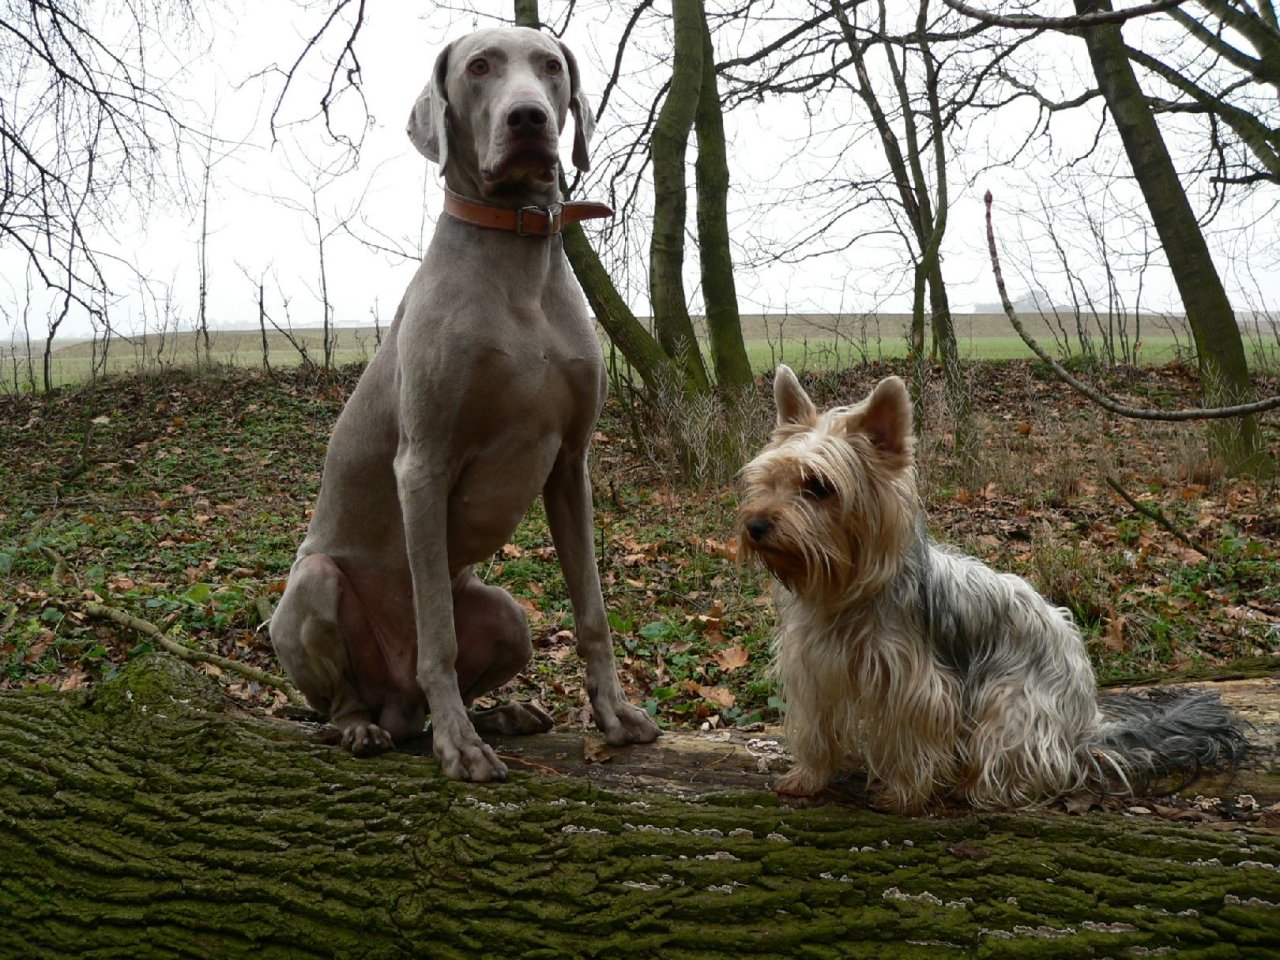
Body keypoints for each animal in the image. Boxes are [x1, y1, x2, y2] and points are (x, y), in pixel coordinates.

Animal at [270, 27, 659, 782]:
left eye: (550, 67)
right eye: (480, 66)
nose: (529, 118)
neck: (518, 252)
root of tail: (396, 703)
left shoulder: (570, 463)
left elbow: (593, 609)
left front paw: (614, 714)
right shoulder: (424, 464)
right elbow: (438, 636)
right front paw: (460, 747)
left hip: (506, 611)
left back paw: (504, 713)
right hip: (314, 586)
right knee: (348, 696)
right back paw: (371, 728)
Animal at [738, 365, 1246, 812]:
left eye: (820, 488)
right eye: (770, 481)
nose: (755, 525)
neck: (842, 589)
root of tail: (1084, 725)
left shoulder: (917, 685)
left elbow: (912, 736)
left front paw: (902, 795)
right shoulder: (814, 669)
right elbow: (815, 730)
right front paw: (807, 778)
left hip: (1013, 703)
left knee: (1025, 759)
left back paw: (981, 787)